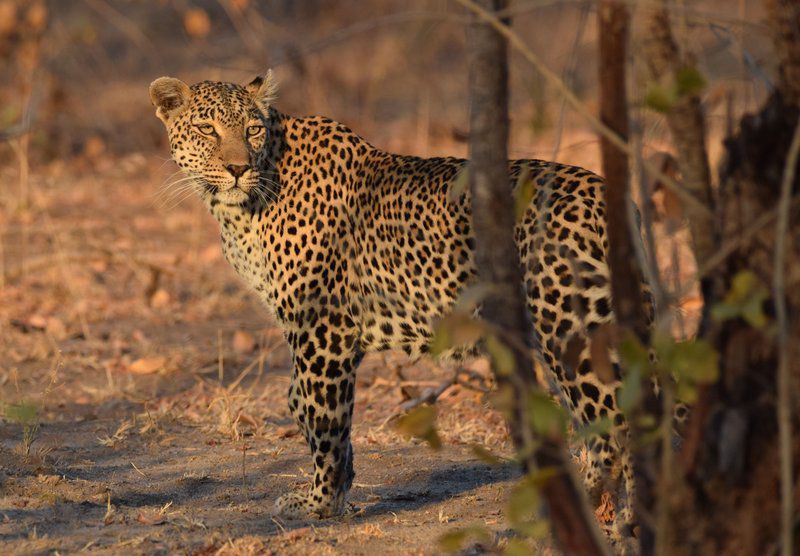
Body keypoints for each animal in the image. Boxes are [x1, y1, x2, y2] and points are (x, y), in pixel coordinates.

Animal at [150, 71, 648, 536]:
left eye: (251, 129)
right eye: (207, 128)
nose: (237, 168)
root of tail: (607, 195)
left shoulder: (322, 328)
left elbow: (321, 413)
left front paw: (320, 503)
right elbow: (302, 403)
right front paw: (339, 491)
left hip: (571, 330)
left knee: (617, 425)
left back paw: (607, 518)